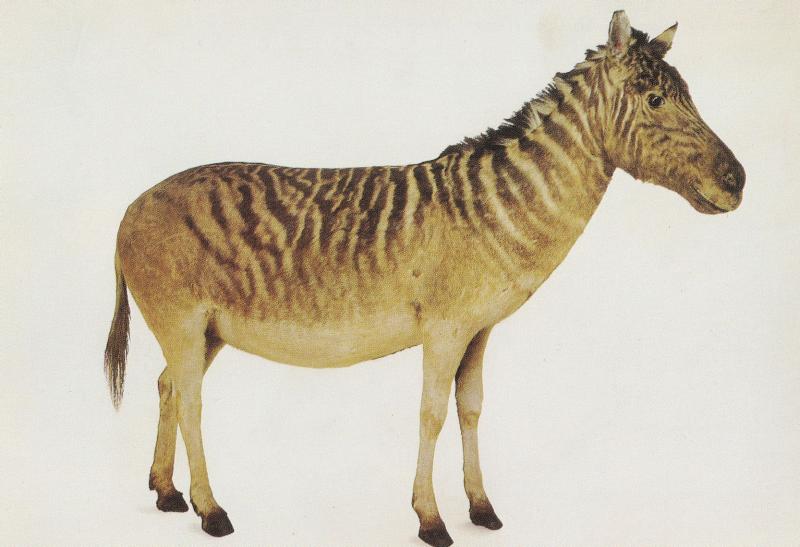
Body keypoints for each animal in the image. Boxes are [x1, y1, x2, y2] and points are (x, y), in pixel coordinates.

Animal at [104, 11, 744, 547]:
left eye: (687, 96)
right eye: (656, 99)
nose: (738, 181)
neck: (496, 210)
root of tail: (132, 206)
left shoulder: (480, 330)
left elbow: (472, 408)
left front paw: (482, 508)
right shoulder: (444, 328)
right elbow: (431, 413)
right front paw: (430, 519)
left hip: (206, 332)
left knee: (167, 386)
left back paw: (167, 493)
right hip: (183, 321)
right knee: (191, 400)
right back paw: (211, 511)